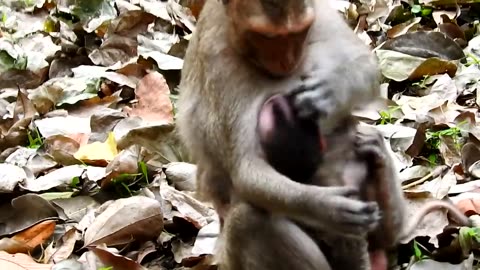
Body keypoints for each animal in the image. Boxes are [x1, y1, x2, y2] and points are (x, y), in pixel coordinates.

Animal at [175, 0, 378, 268]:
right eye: (267, 37)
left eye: (297, 33)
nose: (287, 61)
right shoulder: (217, 61)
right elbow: (246, 170)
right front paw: (327, 207)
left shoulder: (321, 13)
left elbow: (367, 65)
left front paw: (330, 91)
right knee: (246, 221)